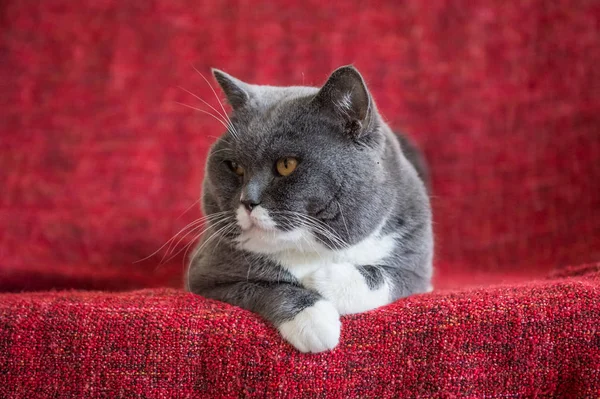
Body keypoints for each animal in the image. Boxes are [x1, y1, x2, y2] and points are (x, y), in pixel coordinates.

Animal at [185, 65, 434, 354]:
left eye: (286, 165)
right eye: (234, 166)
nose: (248, 200)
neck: (309, 248)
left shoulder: (415, 261)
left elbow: (389, 277)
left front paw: (325, 280)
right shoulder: (205, 276)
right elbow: (263, 287)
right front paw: (314, 322)